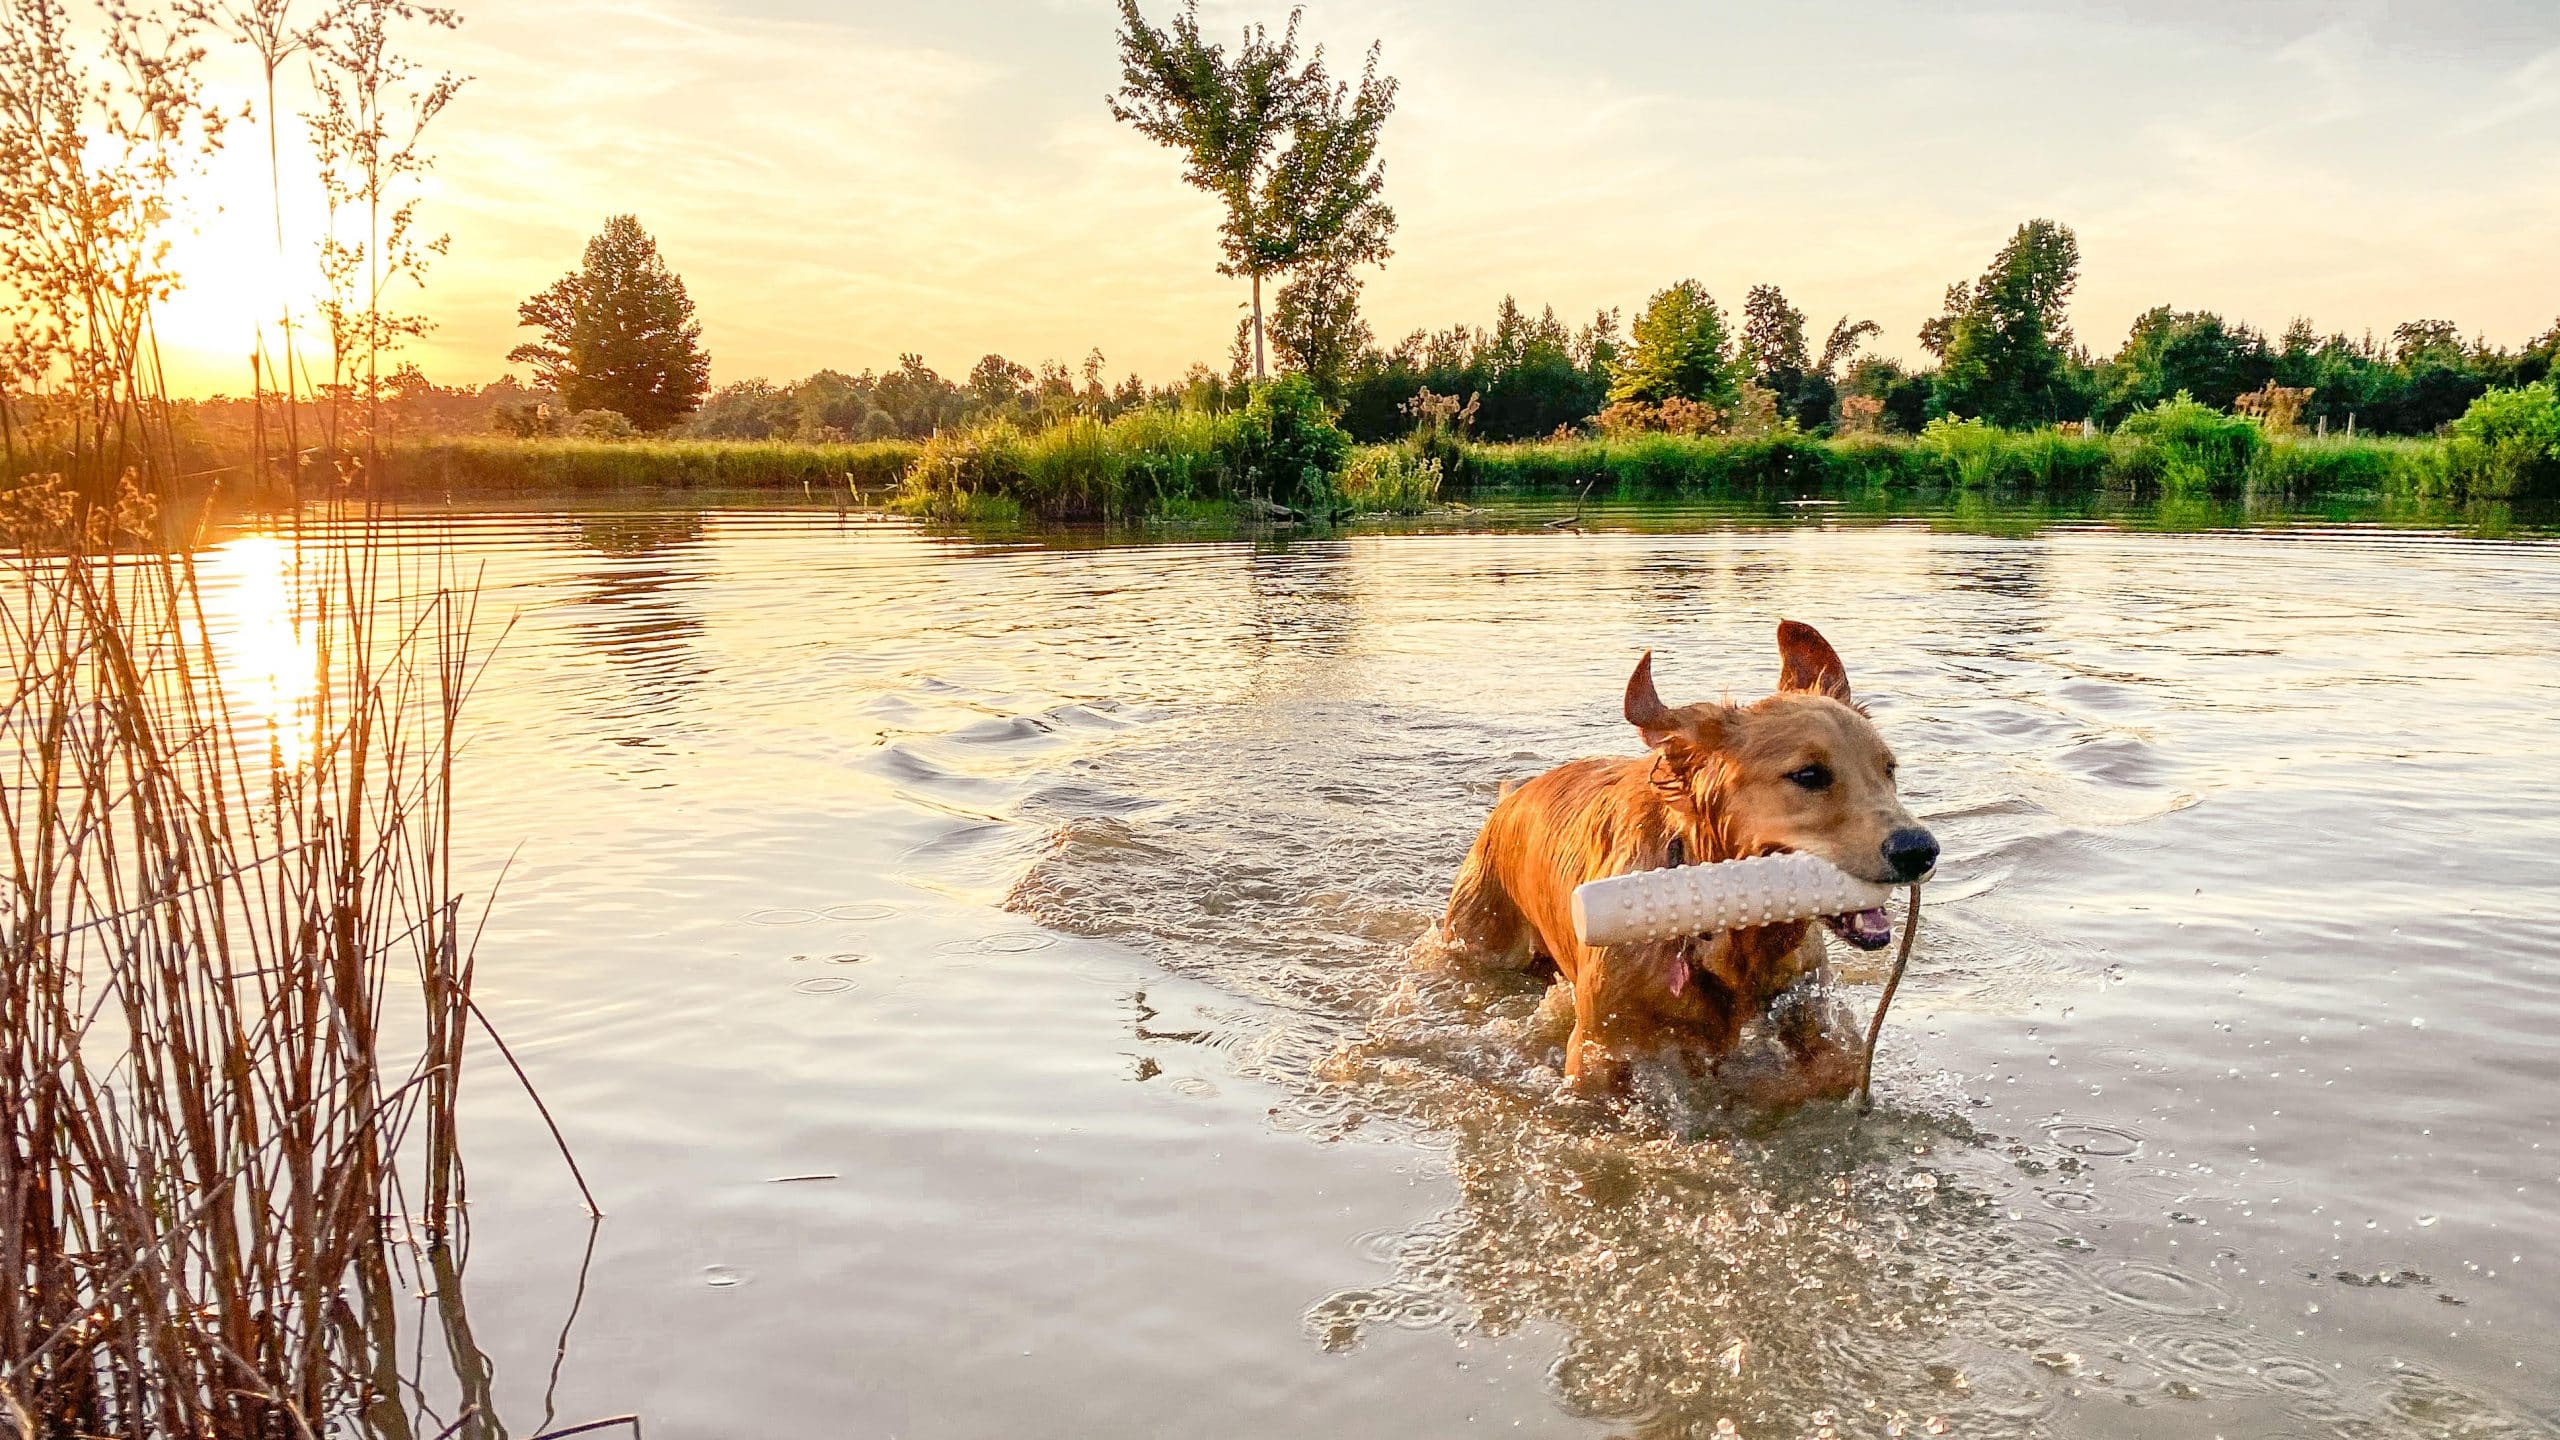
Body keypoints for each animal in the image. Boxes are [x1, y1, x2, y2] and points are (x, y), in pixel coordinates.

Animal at [1443, 617, 1935, 1096]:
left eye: (1889, 769)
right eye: (1809, 775)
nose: (1920, 850)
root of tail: (1509, 800)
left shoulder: (1810, 1011)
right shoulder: (1599, 1047)